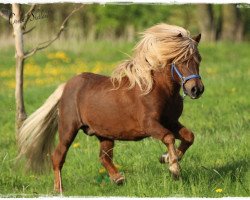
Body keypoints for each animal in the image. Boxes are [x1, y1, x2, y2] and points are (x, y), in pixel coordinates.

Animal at [18, 23, 204, 194]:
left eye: (198, 59)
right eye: (181, 60)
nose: (196, 89)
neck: (158, 89)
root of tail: (66, 86)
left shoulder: (171, 121)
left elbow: (189, 136)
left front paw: (166, 158)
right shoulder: (149, 125)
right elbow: (169, 137)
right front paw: (174, 169)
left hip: (105, 134)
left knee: (104, 157)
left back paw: (118, 178)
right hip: (68, 130)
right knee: (58, 157)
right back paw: (59, 190)